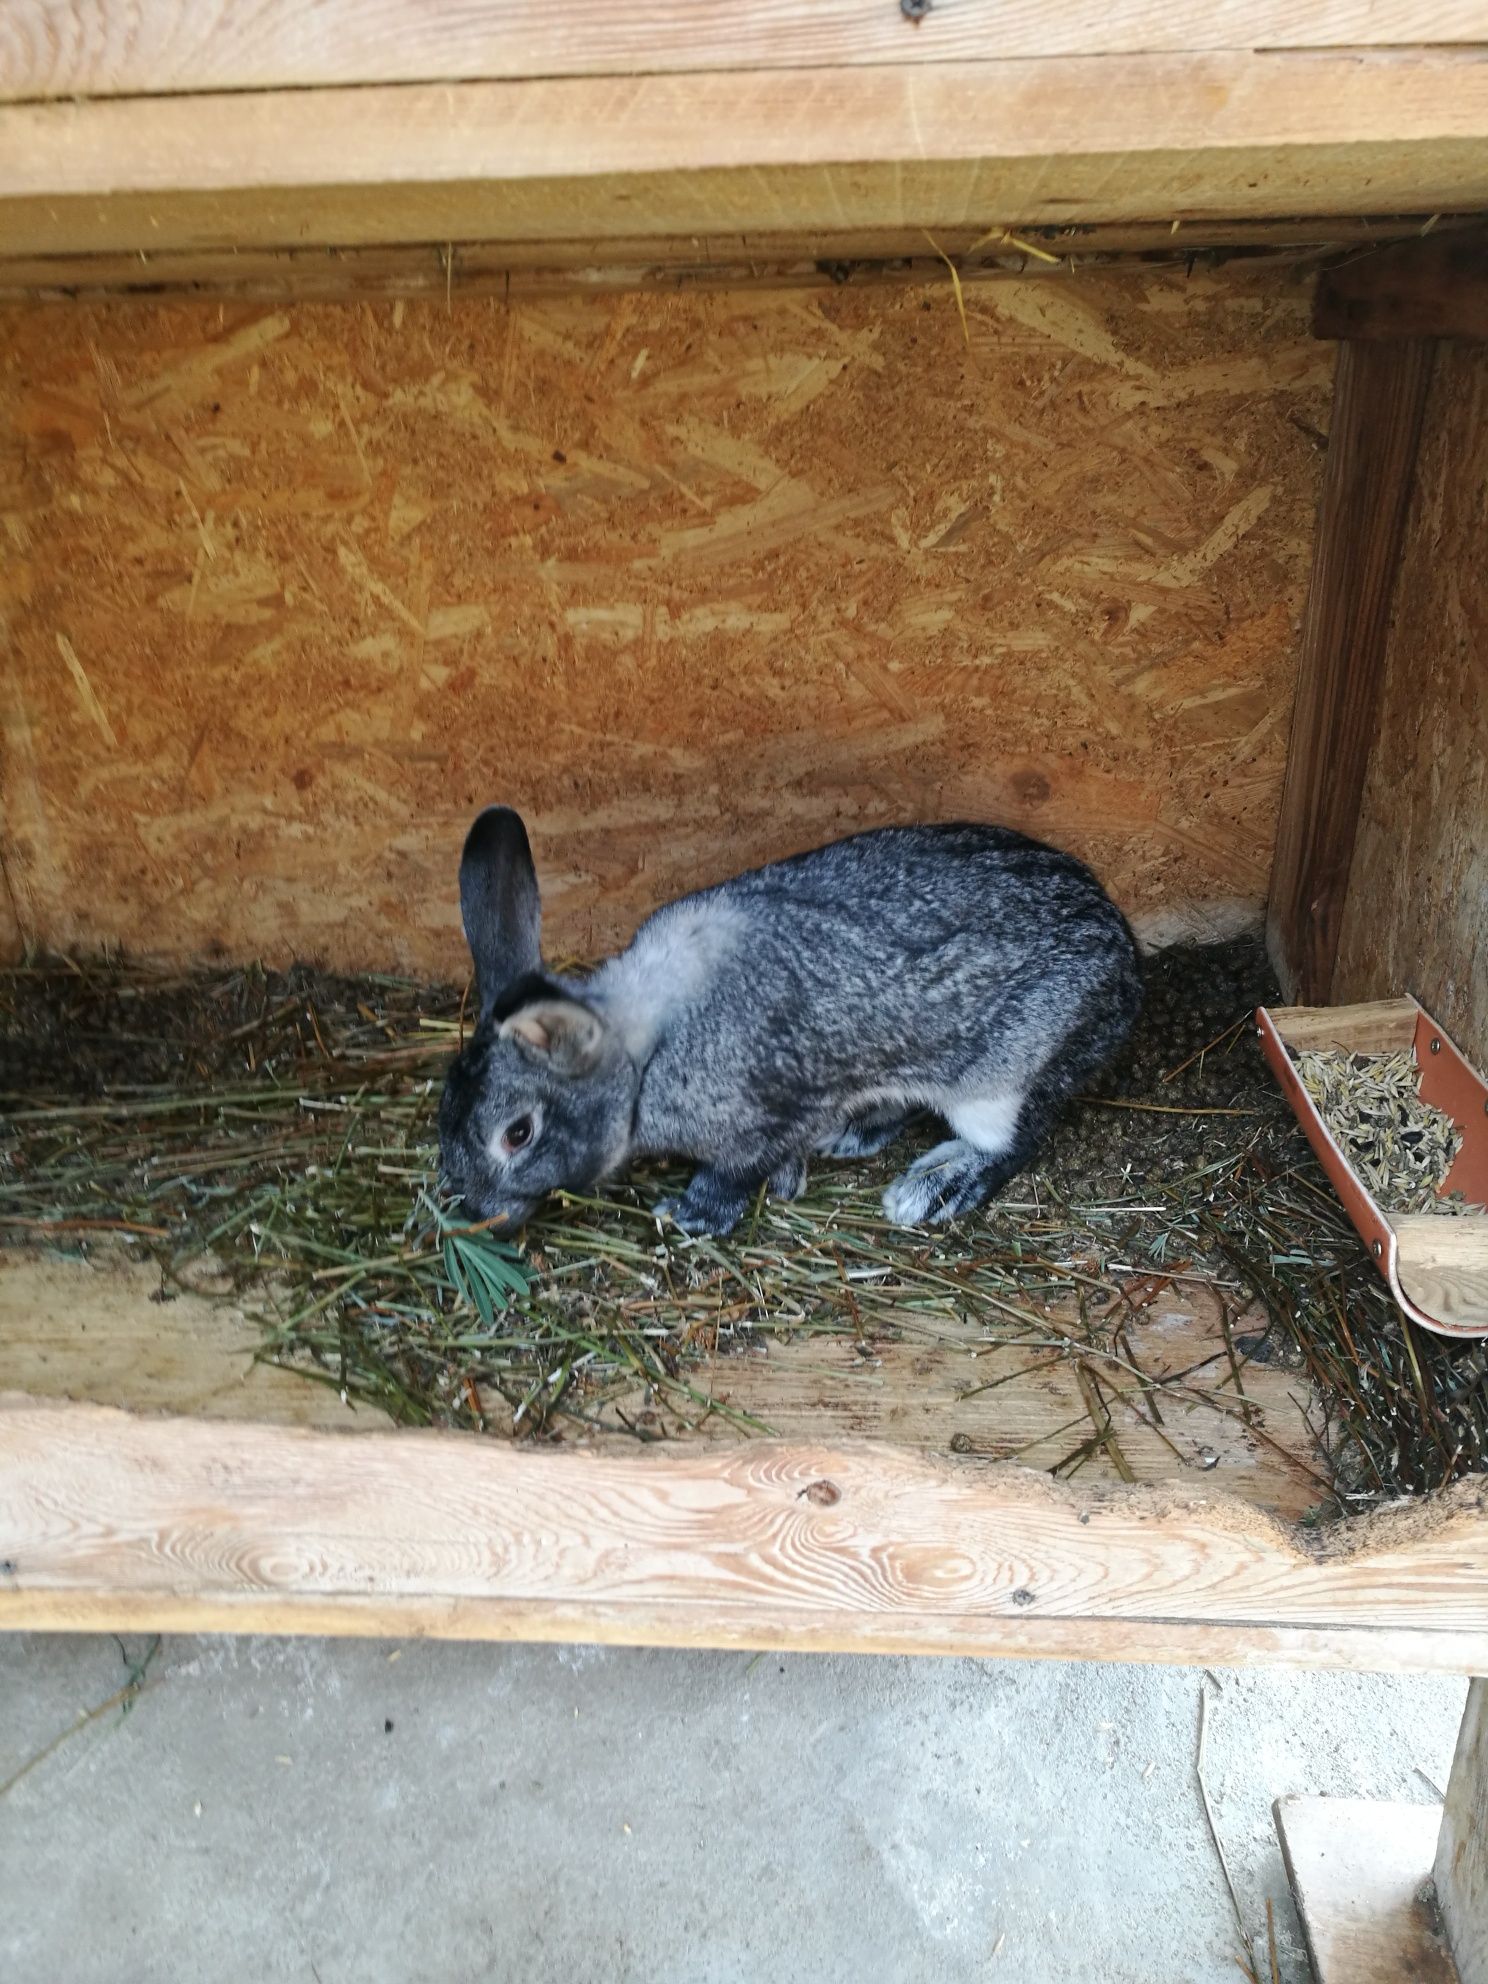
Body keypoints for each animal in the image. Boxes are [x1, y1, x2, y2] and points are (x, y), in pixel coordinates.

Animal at [440, 797, 1142, 1230]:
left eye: (518, 1134)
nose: (479, 1213)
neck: (644, 1059)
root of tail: (1126, 964)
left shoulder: (762, 1120)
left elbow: (734, 1174)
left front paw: (692, 1215)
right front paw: (791, 1178)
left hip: (1002, 1079)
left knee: (1019, 1137)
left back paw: (934, 1188)